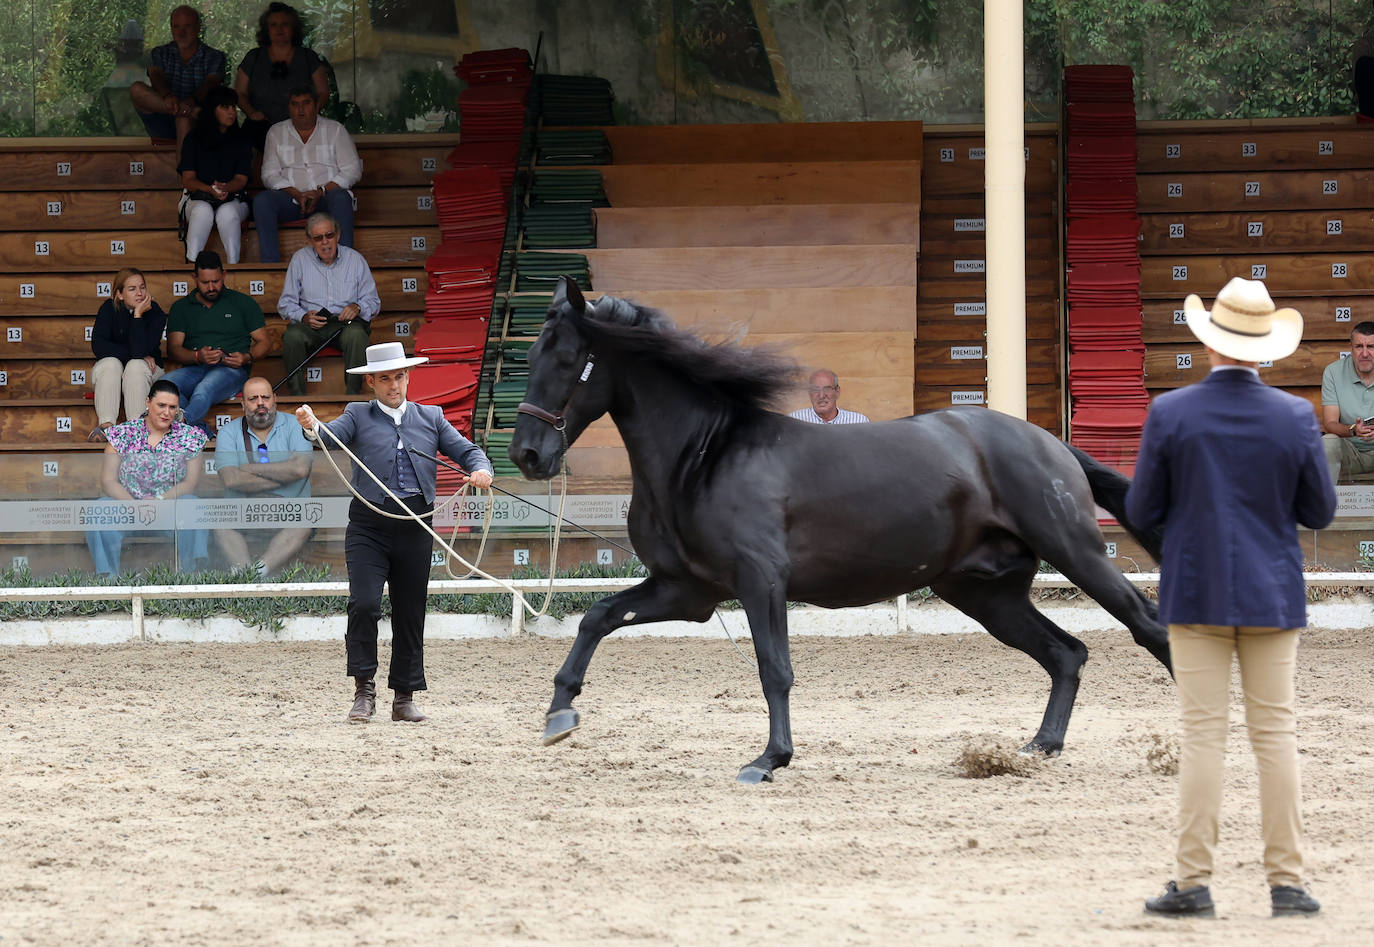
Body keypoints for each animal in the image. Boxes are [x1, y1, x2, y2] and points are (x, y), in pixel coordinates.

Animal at [508, 274, 1170, 780]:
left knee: (1147, 627)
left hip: (1077, 553)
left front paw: (769, 760)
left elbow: (774, 669)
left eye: (566, 358)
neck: (705, 455)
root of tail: (1050, 444)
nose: (528, 456)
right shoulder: (687, 591)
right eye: (531, 355)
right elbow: (597, 617)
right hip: (985, 592)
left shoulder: (760, 581)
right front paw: (559, 715)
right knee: (1066, 653)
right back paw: (1039, 746)